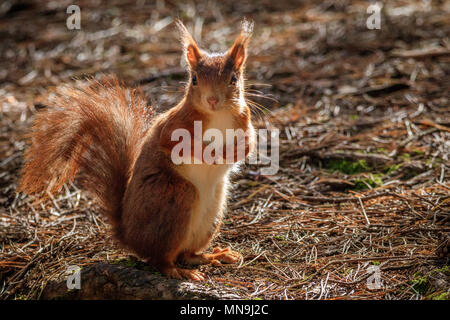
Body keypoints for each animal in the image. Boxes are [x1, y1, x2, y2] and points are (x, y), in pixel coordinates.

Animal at [19, 20, 255, 280]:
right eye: (194, 79)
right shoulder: (171, 127)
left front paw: (233, 153)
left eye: (233, 79)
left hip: (213, 212)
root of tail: (129, 236)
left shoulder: (245, 122)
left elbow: (249, 145)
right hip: (176, 198)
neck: (218, 116)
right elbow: (175, 144)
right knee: (161, 260)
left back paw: (214, 256)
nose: (212, 100)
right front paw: (210, 155)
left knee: (186, 254)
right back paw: (179, 271)